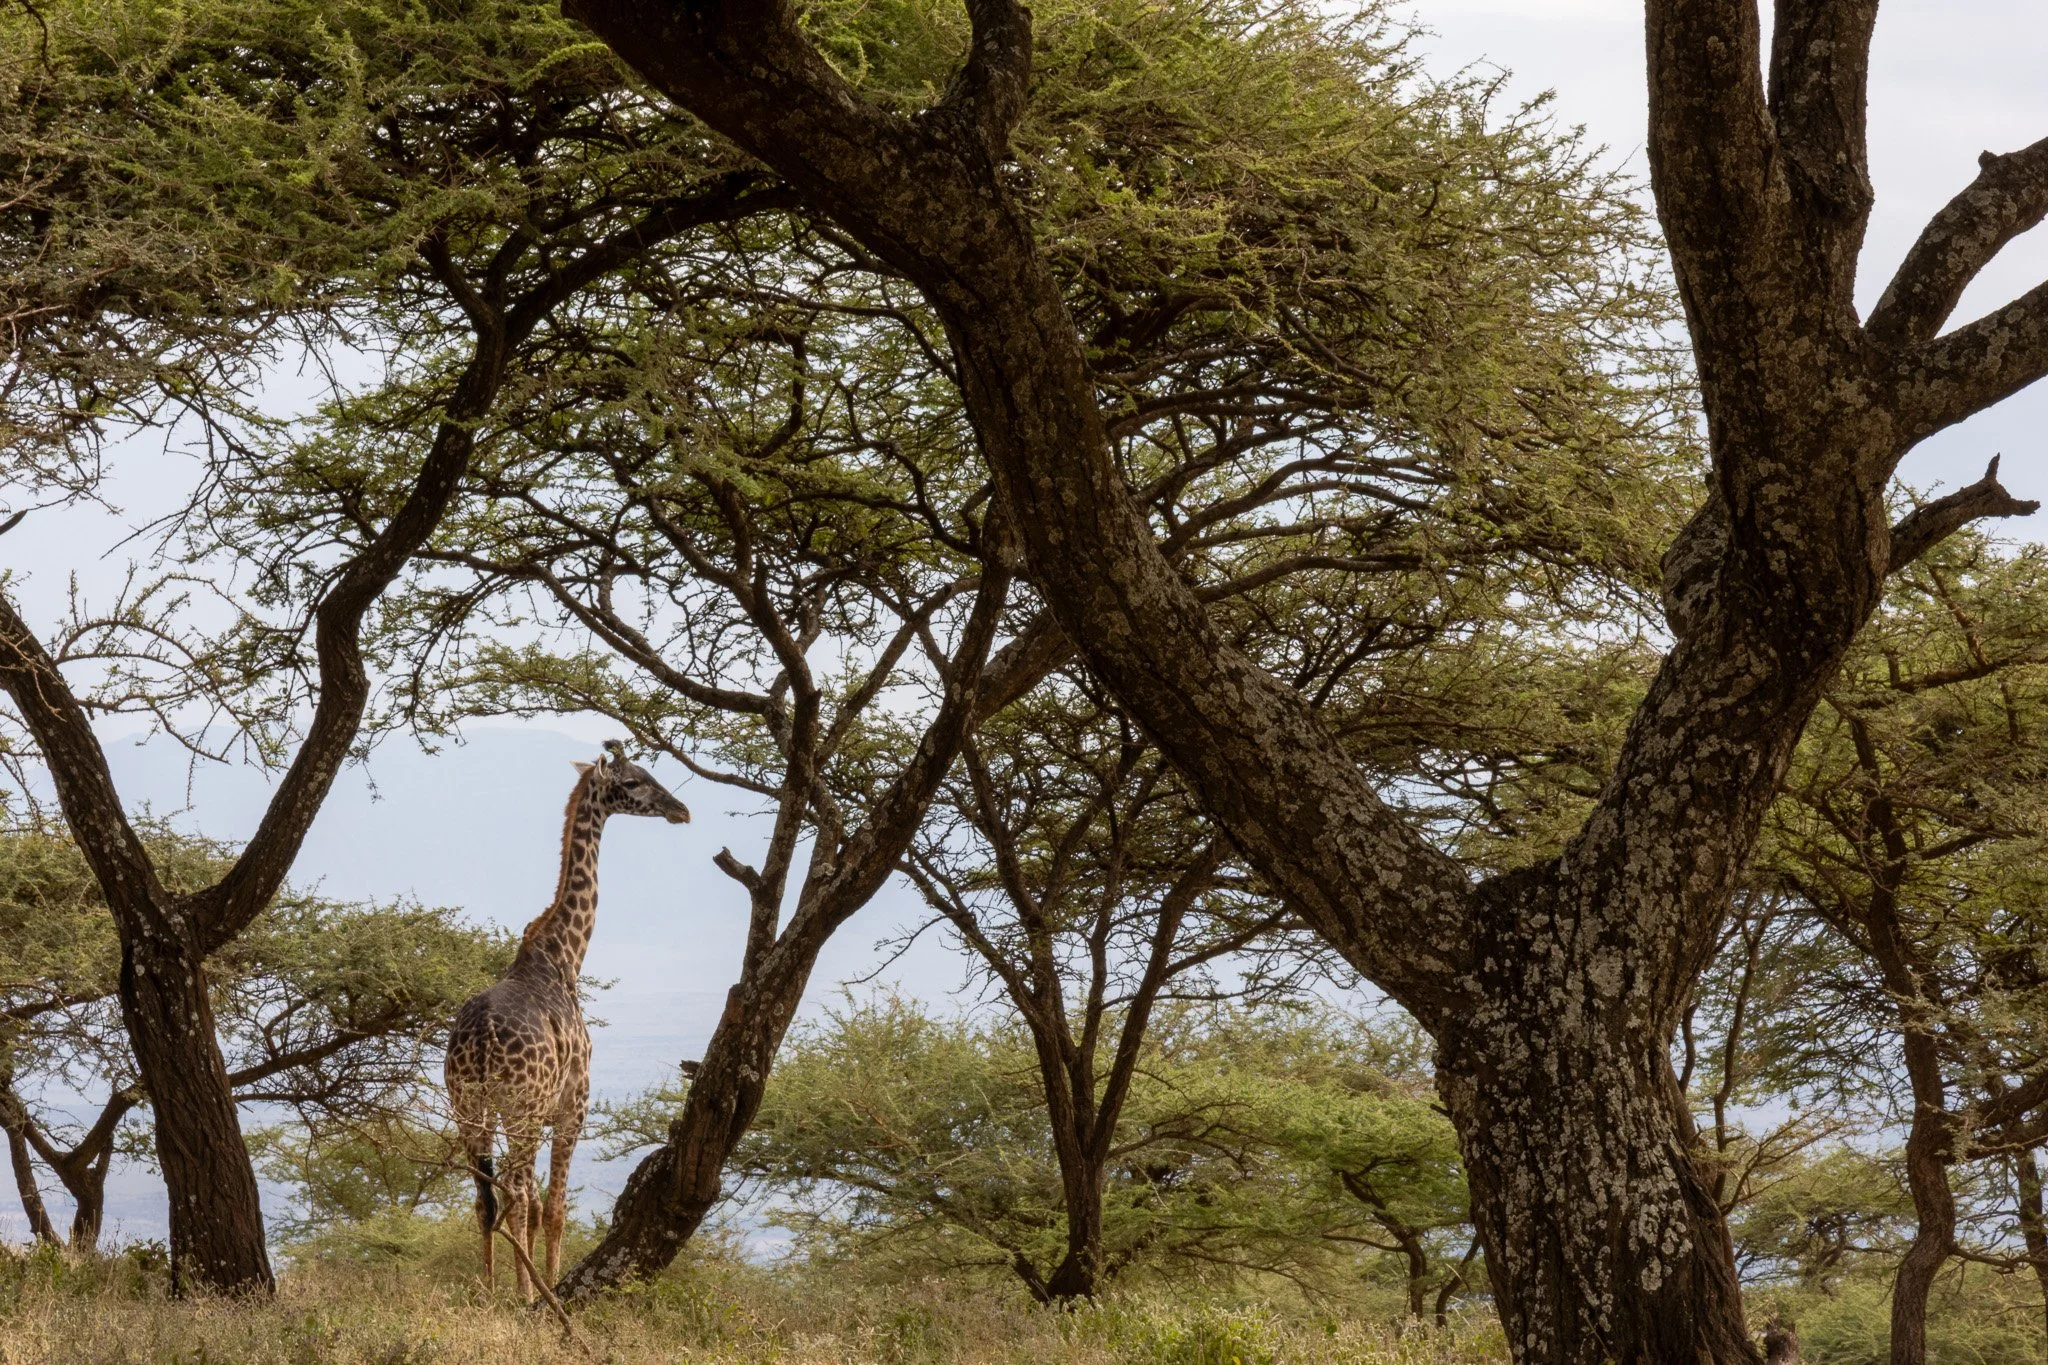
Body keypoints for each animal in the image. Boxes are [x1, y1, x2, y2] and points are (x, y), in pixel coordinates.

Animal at [443, 741, 690, 1299]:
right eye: (635, 781)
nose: (681, 811)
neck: (563, 957)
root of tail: (481, 1040)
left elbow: (535, 1205)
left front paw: (532, 1285)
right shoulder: (573, 1104)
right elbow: (553, 1208)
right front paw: (549, 1289)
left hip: (468, 1105)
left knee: (486, 1197)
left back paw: (489, 1290)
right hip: (520, 1108)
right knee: (515, 1194)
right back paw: (524, 1293)